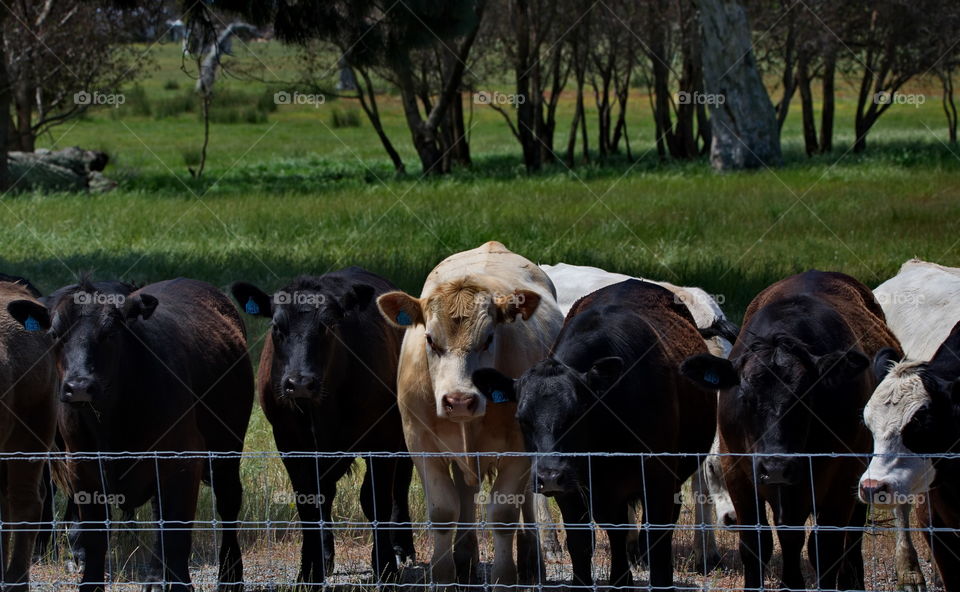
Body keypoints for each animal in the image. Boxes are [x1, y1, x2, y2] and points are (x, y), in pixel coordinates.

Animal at [9, 277, 255, 592]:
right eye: (54, 334)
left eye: (111, 332)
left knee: (227, 504)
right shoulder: (82, 467)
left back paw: (230, 577)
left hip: (227, 448)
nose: (79, 386)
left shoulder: (182, 460)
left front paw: (176, 584)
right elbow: (95, 536)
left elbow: (175, 532)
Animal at [231, 268, 415, 585]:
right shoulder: (289, 441)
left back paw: (402, 547)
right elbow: (309, 501)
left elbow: (376, 498)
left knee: (401, 483)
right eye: (276, 327)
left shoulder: (383, 435)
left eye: (328, 326)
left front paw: (386, 567)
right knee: (326, 495)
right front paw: (309, 571)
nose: (299, 382)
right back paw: (326, 556)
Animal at [376, 241, 564, 589]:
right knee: (465, 493)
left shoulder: (518, 448)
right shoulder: (420, 441)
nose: (459, 400)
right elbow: (443, 511)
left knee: (527, 501)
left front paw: (504, 578)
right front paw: (443, 576)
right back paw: (465, 560)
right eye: (430, 339)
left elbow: (503, 516)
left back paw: (532, 559)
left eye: (489, 339)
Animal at [472, 279, 716, 591]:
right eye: (521, 419)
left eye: (578, 413)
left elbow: (658, 546)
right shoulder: (572, 489)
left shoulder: (658, 479)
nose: (549, 475)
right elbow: (581, 542)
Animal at [681, 270, 898, 591]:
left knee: (850, 539)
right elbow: (757, 545)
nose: (776, 466)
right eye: (745, 396)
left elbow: (826, 548)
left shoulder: (842, 475)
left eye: (805, 397)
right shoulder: (737, 470)